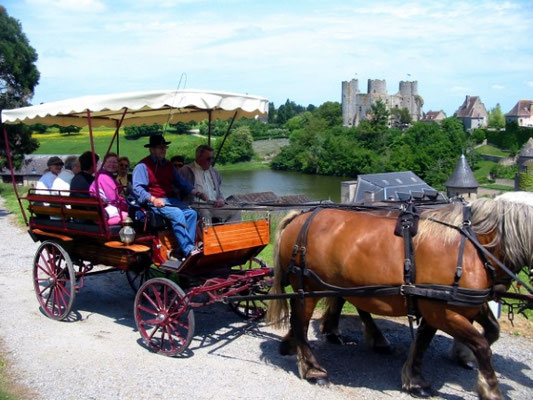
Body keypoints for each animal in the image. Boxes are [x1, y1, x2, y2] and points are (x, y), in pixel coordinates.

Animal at [266, 198, 532, 400]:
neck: (473, 247)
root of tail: (300, 216)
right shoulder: (443, 312)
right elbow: (482, 346)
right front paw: (490, 389)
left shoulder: (450, 307)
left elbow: (480, 333)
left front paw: (418, 377)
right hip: (307, 288)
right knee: (301, 322)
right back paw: (313, 369)